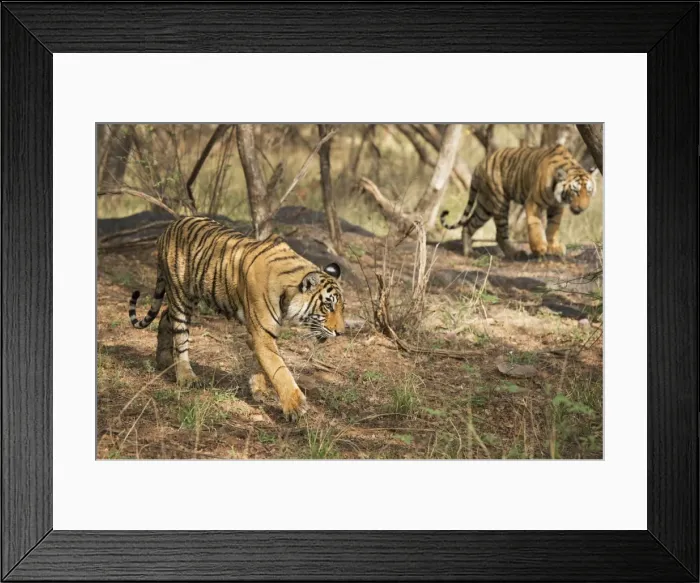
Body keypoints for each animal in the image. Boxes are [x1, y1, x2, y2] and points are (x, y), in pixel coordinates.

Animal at [128, 216, 345, 421]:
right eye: (328, 306)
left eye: (342, 307)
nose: (341, 332)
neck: (288, 292)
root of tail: (170, 226)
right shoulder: (263, 334)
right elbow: (279, 369)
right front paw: (295, 406)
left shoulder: (260, 333)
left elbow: (262, 364)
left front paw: (258, 390)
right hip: (181, 295)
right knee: (180, 336)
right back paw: (186, 376)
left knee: (166, 315)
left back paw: (163, 361)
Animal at [440, 144, 596, 259]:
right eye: (575, 191)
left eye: (588, 191)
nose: (582, 208)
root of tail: (480, 164)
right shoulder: (533, 202)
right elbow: (535, 224)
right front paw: (539, 247)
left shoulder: (557, 207)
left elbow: (553, 226)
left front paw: (554, 247)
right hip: (500, 202)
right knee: (500, 234)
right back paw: (514, 253)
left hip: (485, 206)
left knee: (469, 225)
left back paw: (469, 252)